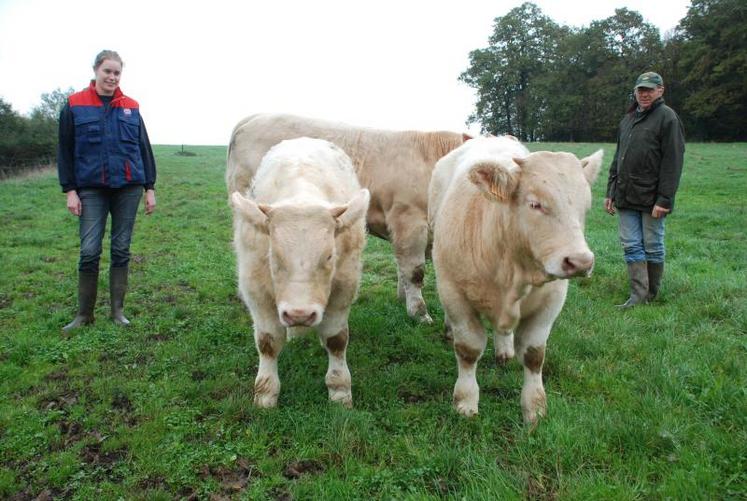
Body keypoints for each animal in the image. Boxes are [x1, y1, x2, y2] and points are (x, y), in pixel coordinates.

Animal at [225, 113, 470, 322]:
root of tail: (255, 117)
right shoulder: (409, 221)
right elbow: (414, 271)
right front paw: (419, 313)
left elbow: (402, 266)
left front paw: (403, 299)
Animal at [228, 137, 368, 406]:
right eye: (274, 256)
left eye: (330, 256)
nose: (299, 314)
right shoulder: (256, 288)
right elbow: (268, 341)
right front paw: (266, 394)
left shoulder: (344, 286)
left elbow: (336, 339)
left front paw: (339, 390)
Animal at [430, 135, 604, 420]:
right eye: (535, 204)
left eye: (585, 207)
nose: (581, 262)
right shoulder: (453, 292)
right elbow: (468, 349)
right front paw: (466, 401)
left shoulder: (552, 301)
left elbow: (534, 354)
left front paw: (534, 407)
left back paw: (504, 349)